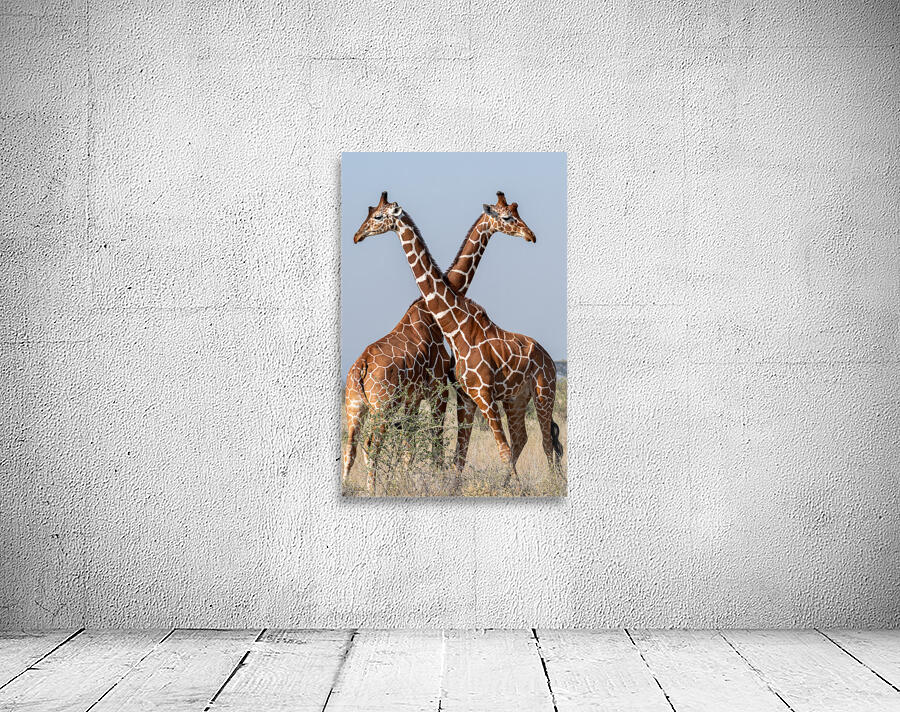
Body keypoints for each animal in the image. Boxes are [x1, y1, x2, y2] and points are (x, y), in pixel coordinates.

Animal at [353, 193, 563, 486]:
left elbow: (474, 449)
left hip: (541, 393)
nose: (530, 235)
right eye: (507, 217)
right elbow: (454, 453)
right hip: (514, 399)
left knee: (543, 440)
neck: (453, 326)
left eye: (377, 216)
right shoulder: (462, 396)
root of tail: (548, 357)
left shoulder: (465, 394)